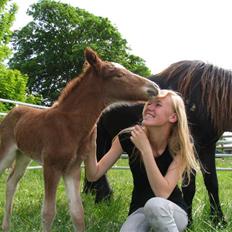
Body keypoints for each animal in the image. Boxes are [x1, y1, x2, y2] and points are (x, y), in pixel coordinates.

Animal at [0, 47, 160, 232]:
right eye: (118, 75)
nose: (154, 88)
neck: (70, 125)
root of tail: (14, 110)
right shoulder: (51, 167)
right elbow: (48, 212)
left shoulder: (73, 169)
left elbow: (77, 213)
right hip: (6, 152)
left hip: (23, 156)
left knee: (11, 182)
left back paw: (6, 226)